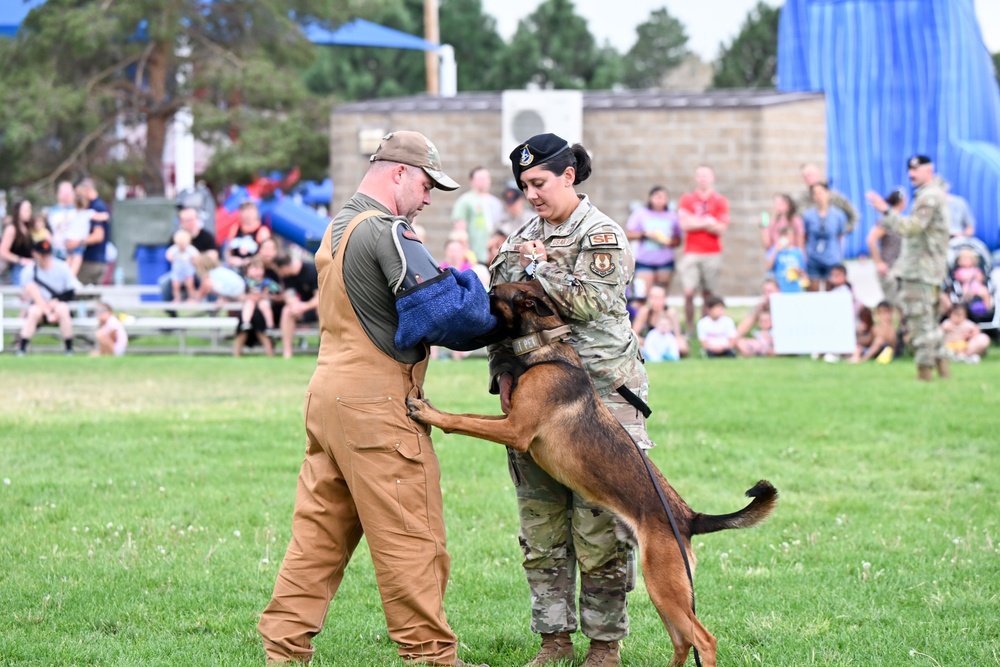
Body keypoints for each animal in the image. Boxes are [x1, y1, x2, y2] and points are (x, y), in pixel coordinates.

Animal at [402, 280, 776, 664]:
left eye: (492, 295)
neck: (547, 348)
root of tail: (689, 517)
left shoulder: (515, 429)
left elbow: (463, 420)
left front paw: (428, 411)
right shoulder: (511, 421)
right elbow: (471, 417)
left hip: (664, 582)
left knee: (704, 639)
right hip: (664, 589)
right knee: (681, 640)